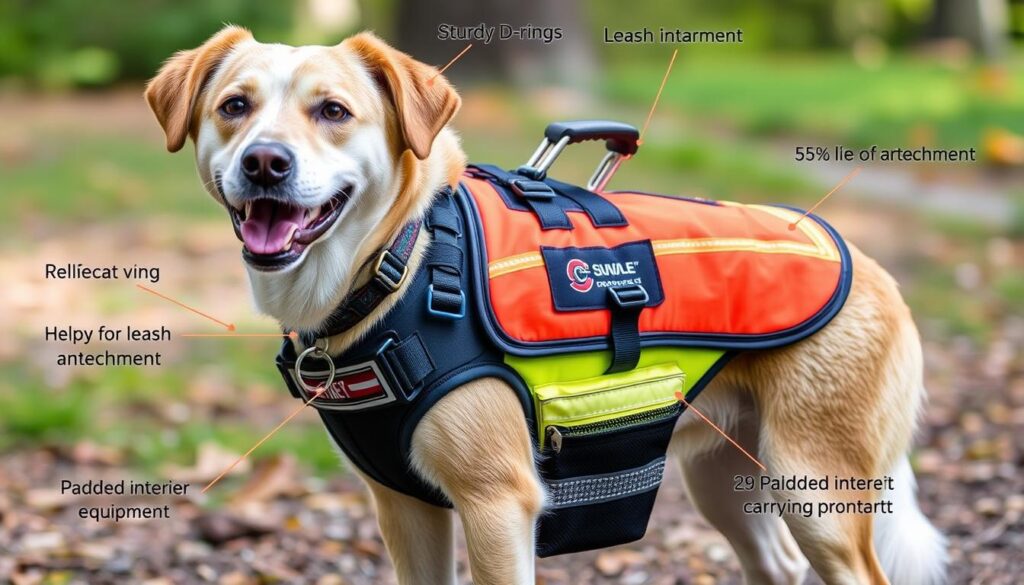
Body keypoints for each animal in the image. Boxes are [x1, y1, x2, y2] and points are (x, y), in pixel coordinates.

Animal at [148, 27, 946, 585]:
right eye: (234, 107)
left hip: (818, 493)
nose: (265, 162)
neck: (399, 266)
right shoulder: (405, 508)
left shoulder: (499, 505)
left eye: (334, 111)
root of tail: (871, 266)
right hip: (724, 476)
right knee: (776, 565)